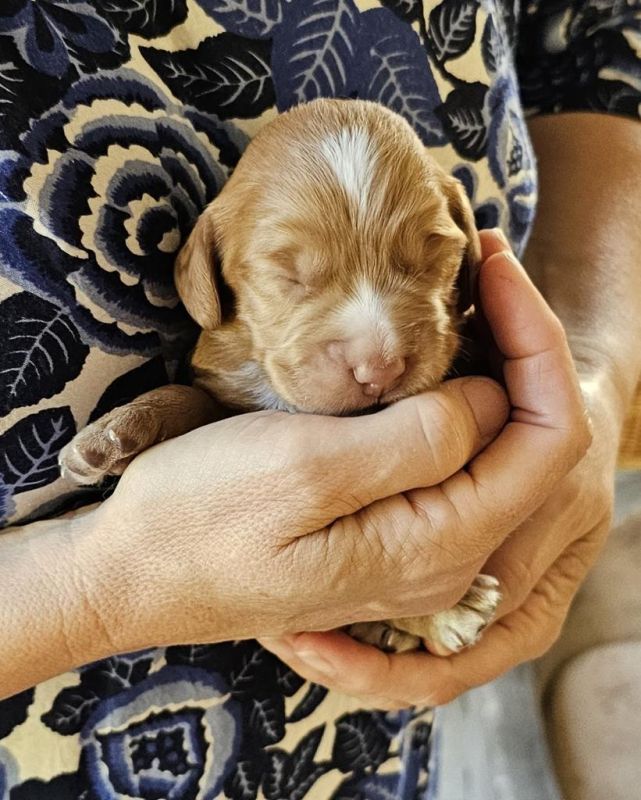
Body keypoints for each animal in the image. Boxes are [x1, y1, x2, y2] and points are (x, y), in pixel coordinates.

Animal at [60, 98, 500, 656]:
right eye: (286, 274)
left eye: (435, 253)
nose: (379, 367)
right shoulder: (222, 393)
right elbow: (186, 397)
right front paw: (115, 434)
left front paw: (445, 609)